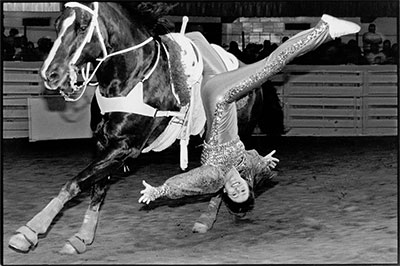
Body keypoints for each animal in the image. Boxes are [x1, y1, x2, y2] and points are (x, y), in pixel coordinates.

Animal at [7, 2, 282, 256]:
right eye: (57, 25)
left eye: (83, 27)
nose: (50, 73)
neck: (133, 78)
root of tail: (251, 73)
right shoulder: (103, 143)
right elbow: (97, 188)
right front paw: (82, 237)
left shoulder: (124, 147)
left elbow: (75, 183)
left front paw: (30, 231)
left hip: (229, 136)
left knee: (225, 172)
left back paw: (208, 219)